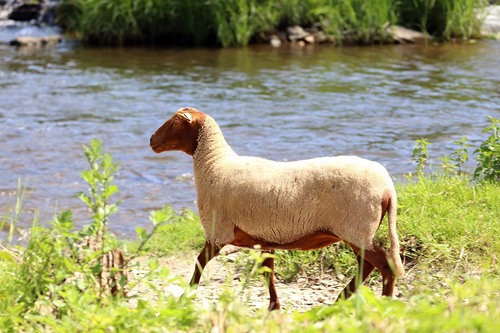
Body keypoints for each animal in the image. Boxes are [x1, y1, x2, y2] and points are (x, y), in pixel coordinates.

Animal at [148, 107, 402, 310]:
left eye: (175, 122)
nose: (151, 140)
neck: (214, 165)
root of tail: (388, 187)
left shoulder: (217, 232)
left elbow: (199, 263)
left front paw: (186, 297)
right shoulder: (263, 238)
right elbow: (268, 271)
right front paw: (274, 305)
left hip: (356, 228)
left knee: (384, 266)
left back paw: (384, 303)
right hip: (359, 231)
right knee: (367, 266)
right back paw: (341, 300)